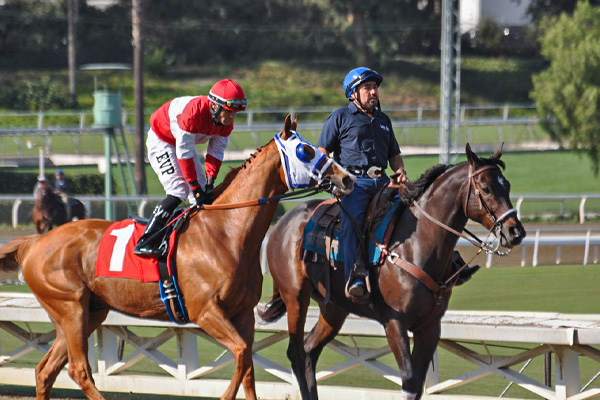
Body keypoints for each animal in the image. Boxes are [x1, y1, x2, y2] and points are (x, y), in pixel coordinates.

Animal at [0, 113, 356, 400]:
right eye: (306, 150)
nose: (347, 178)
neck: (225, 232)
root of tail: (36, 242)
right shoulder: (206, 311)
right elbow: (242, 356)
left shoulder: (243, 315)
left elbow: (248, 366)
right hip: (70, 308)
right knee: (77, 369)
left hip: (89, 312)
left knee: (45, 371)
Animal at [258, 142, 524, 398]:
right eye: (486, 188)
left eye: (507, 185)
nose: (516, 231)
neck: (416, 244)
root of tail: (283, 222)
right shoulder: (394, 321)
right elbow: (409, 380)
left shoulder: (430, 326)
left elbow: (417, 382)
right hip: (295, 297)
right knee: (296, 353)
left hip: (333, 308)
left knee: (309, 351)